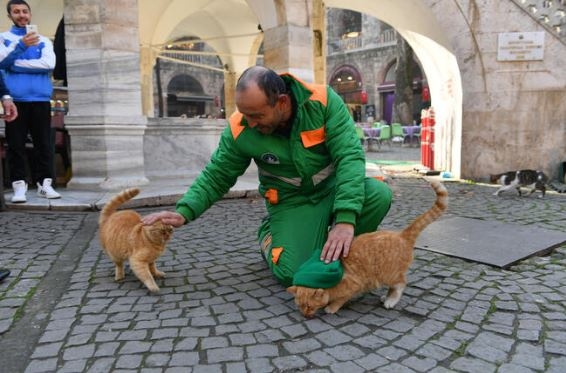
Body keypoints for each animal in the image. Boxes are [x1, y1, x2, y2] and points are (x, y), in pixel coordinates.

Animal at [290, 180, 450, 316]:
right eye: (300, 306)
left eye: (309, 306)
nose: (305, 315)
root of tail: (402, 235)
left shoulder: (353, 286)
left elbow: (340, 300)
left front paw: (331, 308)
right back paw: (386, 297)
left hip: (388, 274)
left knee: (400, 284)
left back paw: (391, 301)